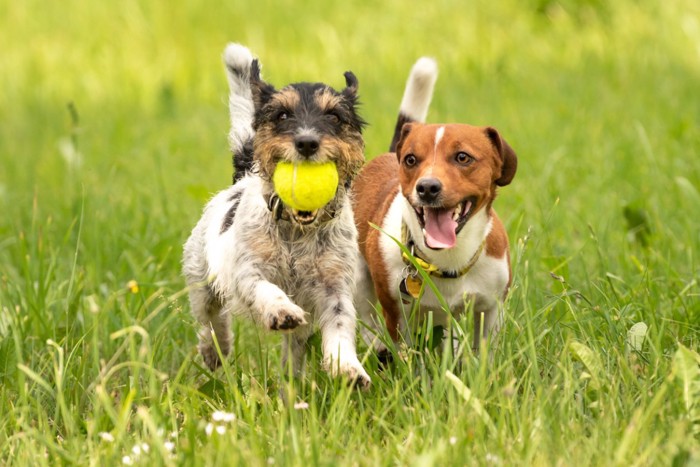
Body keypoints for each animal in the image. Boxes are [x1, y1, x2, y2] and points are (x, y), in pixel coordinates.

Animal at [185, 43, 372, 388]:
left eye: (334, 116)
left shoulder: (335, 285)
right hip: (200, 279)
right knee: (210, 321)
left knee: (294, 348)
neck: (297, 231)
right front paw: (281, 311)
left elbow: (341, 323)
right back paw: (215, 351)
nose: (307, 142)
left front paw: (347, 367)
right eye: (282, 114)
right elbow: (266, 289)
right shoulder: (248, 271)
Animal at [352, 58, 516, 358]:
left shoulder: (491, 308)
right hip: (359, 276)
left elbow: (484, 351)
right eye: (411, 159)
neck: (448, 261)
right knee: (367, 317)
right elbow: (406, 355)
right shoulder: (397, 312)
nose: (427, 187)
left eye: (463, 157)